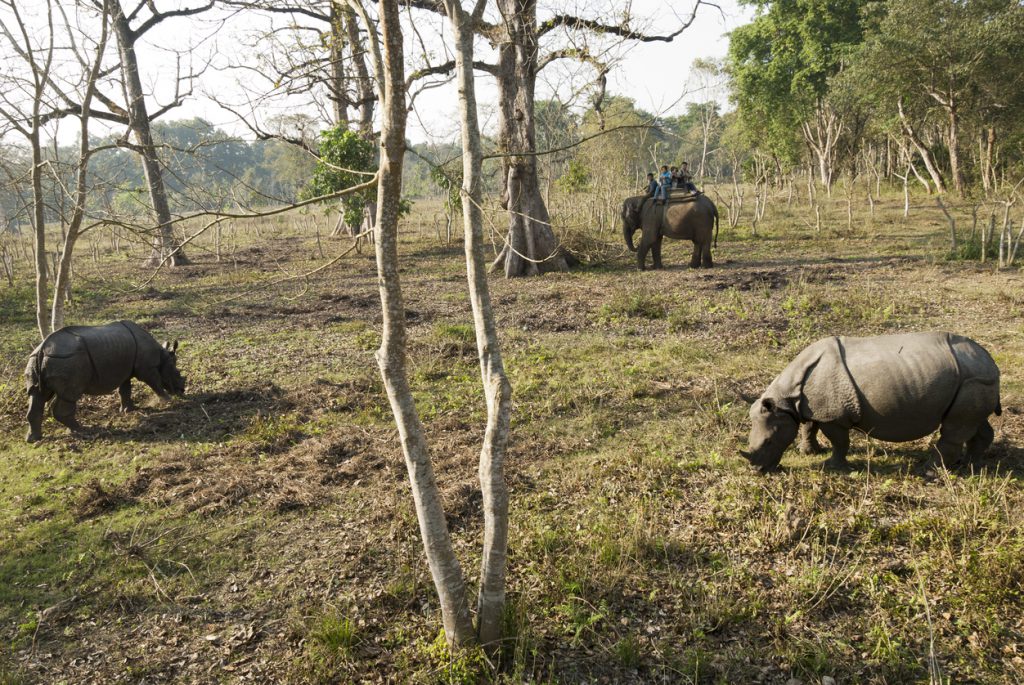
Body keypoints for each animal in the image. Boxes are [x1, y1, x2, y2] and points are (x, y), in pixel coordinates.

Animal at [24, 321, 186, 444]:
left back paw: (33, 439)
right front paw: (167, 401)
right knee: (69, 396)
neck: (163, 357)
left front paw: (128, 410)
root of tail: (43, 348)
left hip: (36, 360)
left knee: (36, 395)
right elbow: (155, 383)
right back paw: (82, 429)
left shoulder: (125, 371)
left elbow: (125, 390)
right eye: (177, 373)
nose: (182, 391)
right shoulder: (147, 369)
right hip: (67, 359)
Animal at [741, 331, 1003, 473]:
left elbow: (840, 441)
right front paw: (809, 452)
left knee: (955, 427)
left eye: (769, 442)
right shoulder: (814, 407)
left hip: (973, 378)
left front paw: (831, 466)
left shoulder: (833, 415)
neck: (786, 399)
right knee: (974, 423)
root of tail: (990, 361)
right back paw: (971, 464)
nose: (757, 471)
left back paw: (930, 469)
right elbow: (808, 427)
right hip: (975, 379)